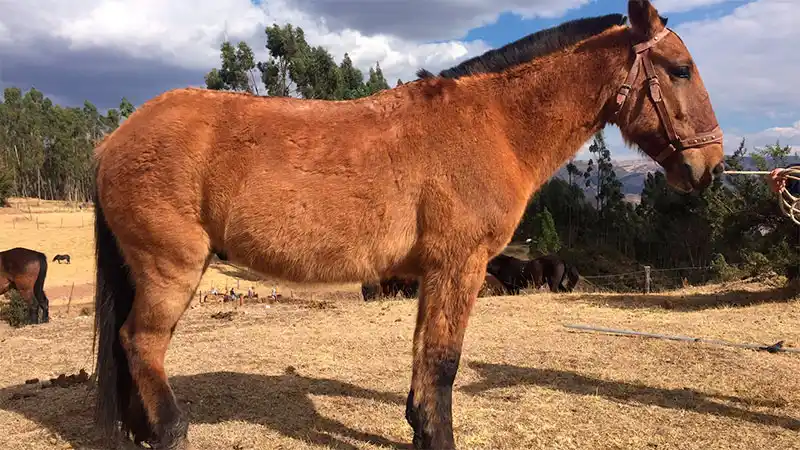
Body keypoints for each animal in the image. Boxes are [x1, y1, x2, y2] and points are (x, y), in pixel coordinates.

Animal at [92, 2, 725, 448]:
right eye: (680, 69)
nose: (712, 168)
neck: (492, 124)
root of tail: (115, 140)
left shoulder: (431, 274)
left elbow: (424, 357)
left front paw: (419, 427)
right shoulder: (459, 266)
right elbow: (443, 362)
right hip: (172, 267)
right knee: (142, 342)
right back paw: (168, 433)